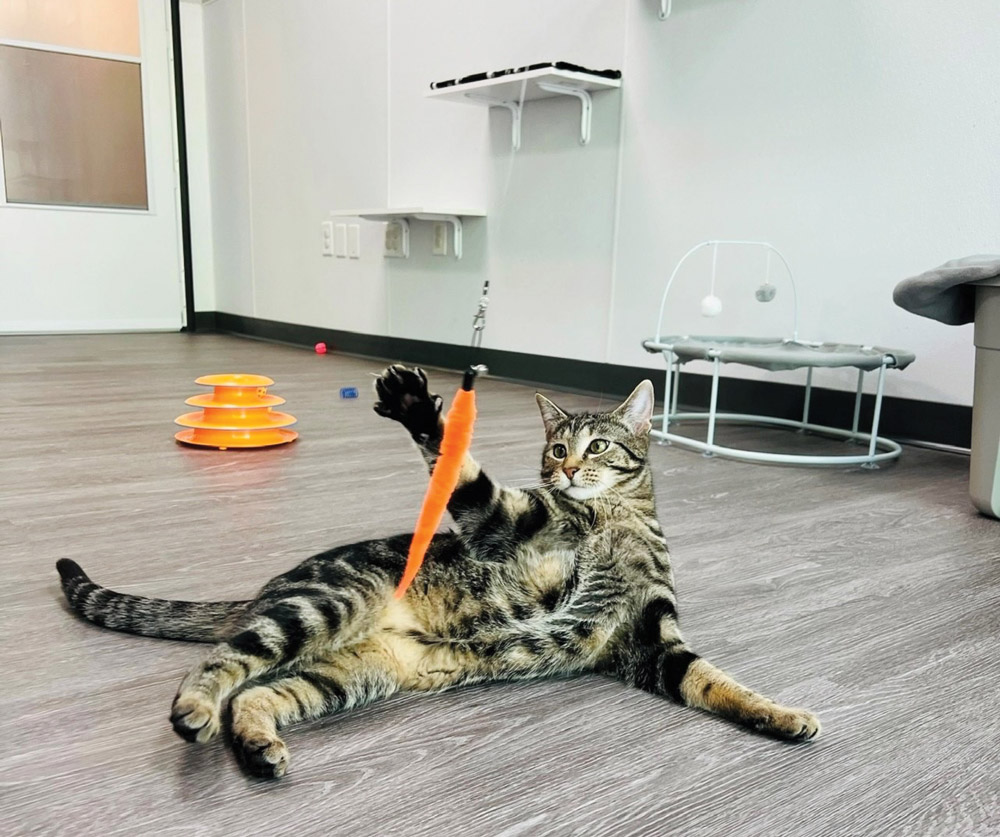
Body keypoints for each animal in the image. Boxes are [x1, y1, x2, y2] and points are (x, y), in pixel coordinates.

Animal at [56, 366, 820, 776]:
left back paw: (257, 745)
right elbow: (465, 476)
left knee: (259, 693)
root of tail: (267, 587)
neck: (615, 518)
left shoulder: (651, 640)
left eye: (598, 446)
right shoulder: (513, 522)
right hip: (317, 608)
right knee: (223, 661)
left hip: (351, 673)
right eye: (556, 449)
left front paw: (783, 716)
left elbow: (719, 683)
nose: (568, 469)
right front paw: (419, 408)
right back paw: (194, 708)